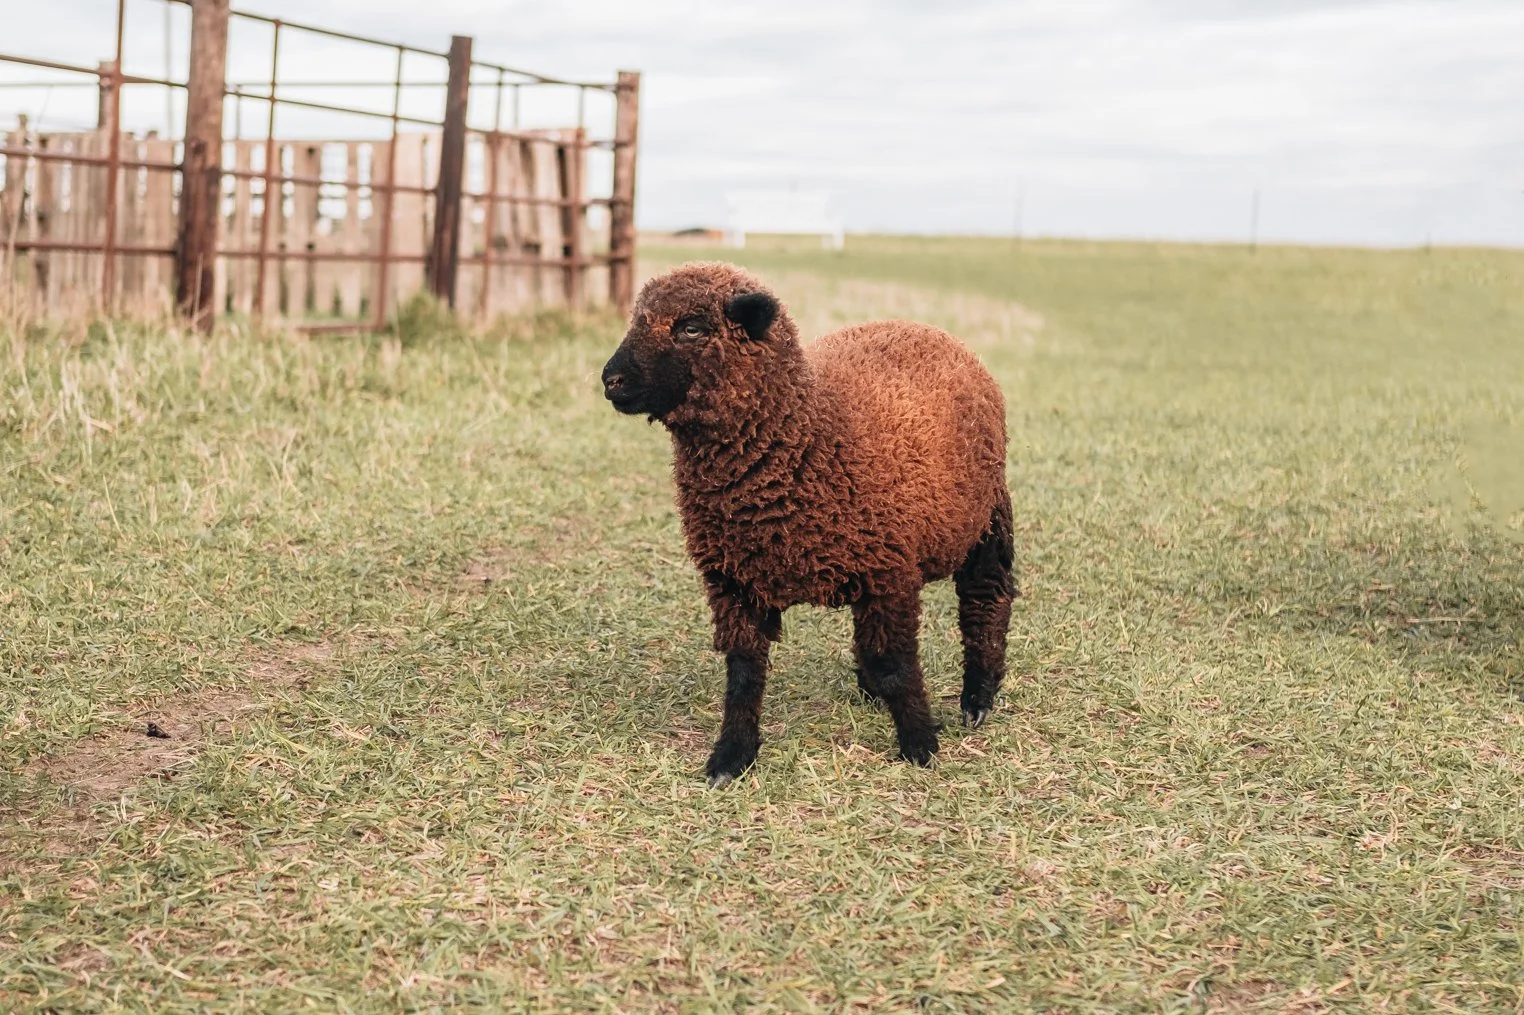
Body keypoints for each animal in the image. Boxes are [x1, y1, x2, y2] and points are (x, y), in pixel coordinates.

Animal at [601, 262, 1016, 785]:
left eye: (691, 327)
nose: (611, 380)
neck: (811, 434)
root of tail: (927, 329)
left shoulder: (891, 571)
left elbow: (896, 664)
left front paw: (920, 744)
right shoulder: (734, 579)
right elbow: (743, 673)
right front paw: (731, 757)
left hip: (988, 519)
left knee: (986, 598)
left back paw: (977, 699)